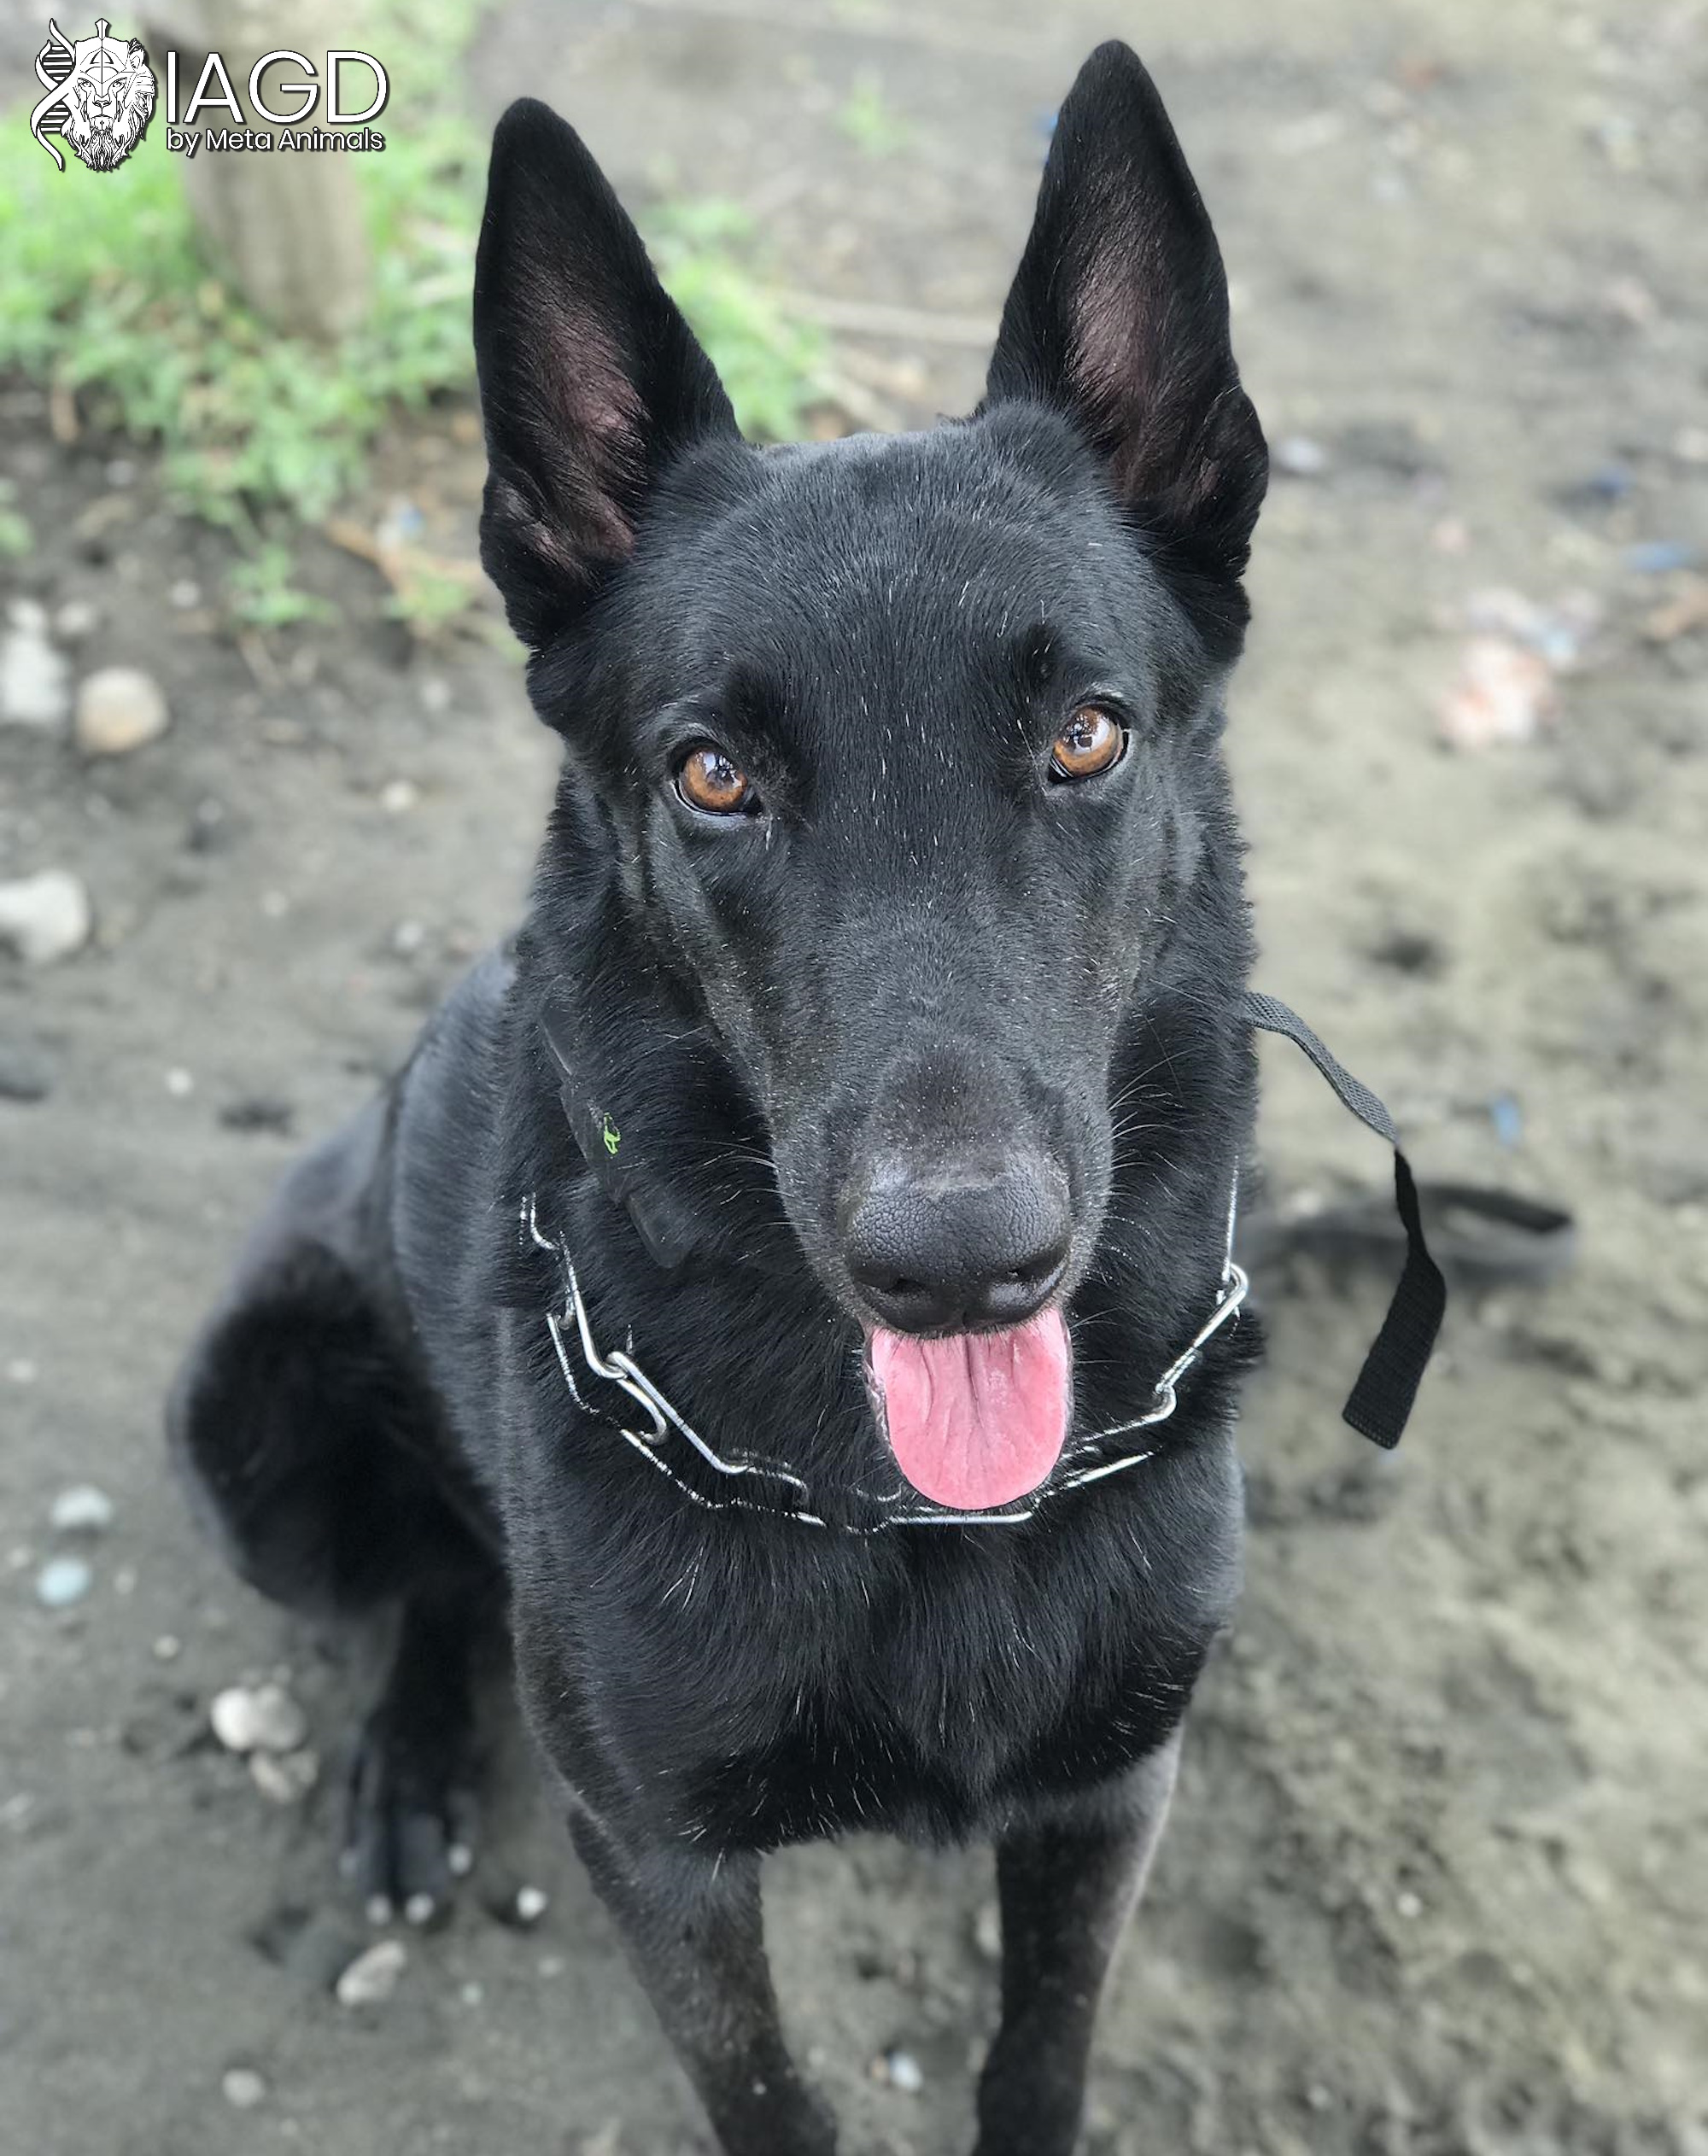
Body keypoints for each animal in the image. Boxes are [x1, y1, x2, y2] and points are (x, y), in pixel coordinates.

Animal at [171, 43, 1334, 2154]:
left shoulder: (1109, 1793)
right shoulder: (663, 1860)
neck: (905, 1511)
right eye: (715, 776)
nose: (959, 1263)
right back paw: (409, 1762)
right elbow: (766, 2091)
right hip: (260, 1440)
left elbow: (1040, 2047)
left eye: (1086, 734)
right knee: (437, 1584)